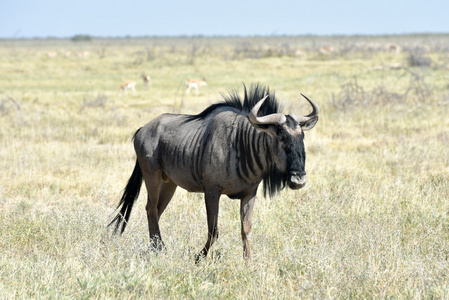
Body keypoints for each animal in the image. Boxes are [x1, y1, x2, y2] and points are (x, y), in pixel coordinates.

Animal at [108, 83, 318, 262]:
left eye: (302, 137)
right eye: (282, 138)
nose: (298, 179)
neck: (241, 143)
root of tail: (143, 129)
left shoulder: (250, 193)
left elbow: (246, 229)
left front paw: (248, 262)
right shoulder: (211, 191)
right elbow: (213, 230)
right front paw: (199, 258)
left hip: (169, 184)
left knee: (156, 211)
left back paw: (156, 247)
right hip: (152, 176)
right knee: (151, 209)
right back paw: (158, 250)